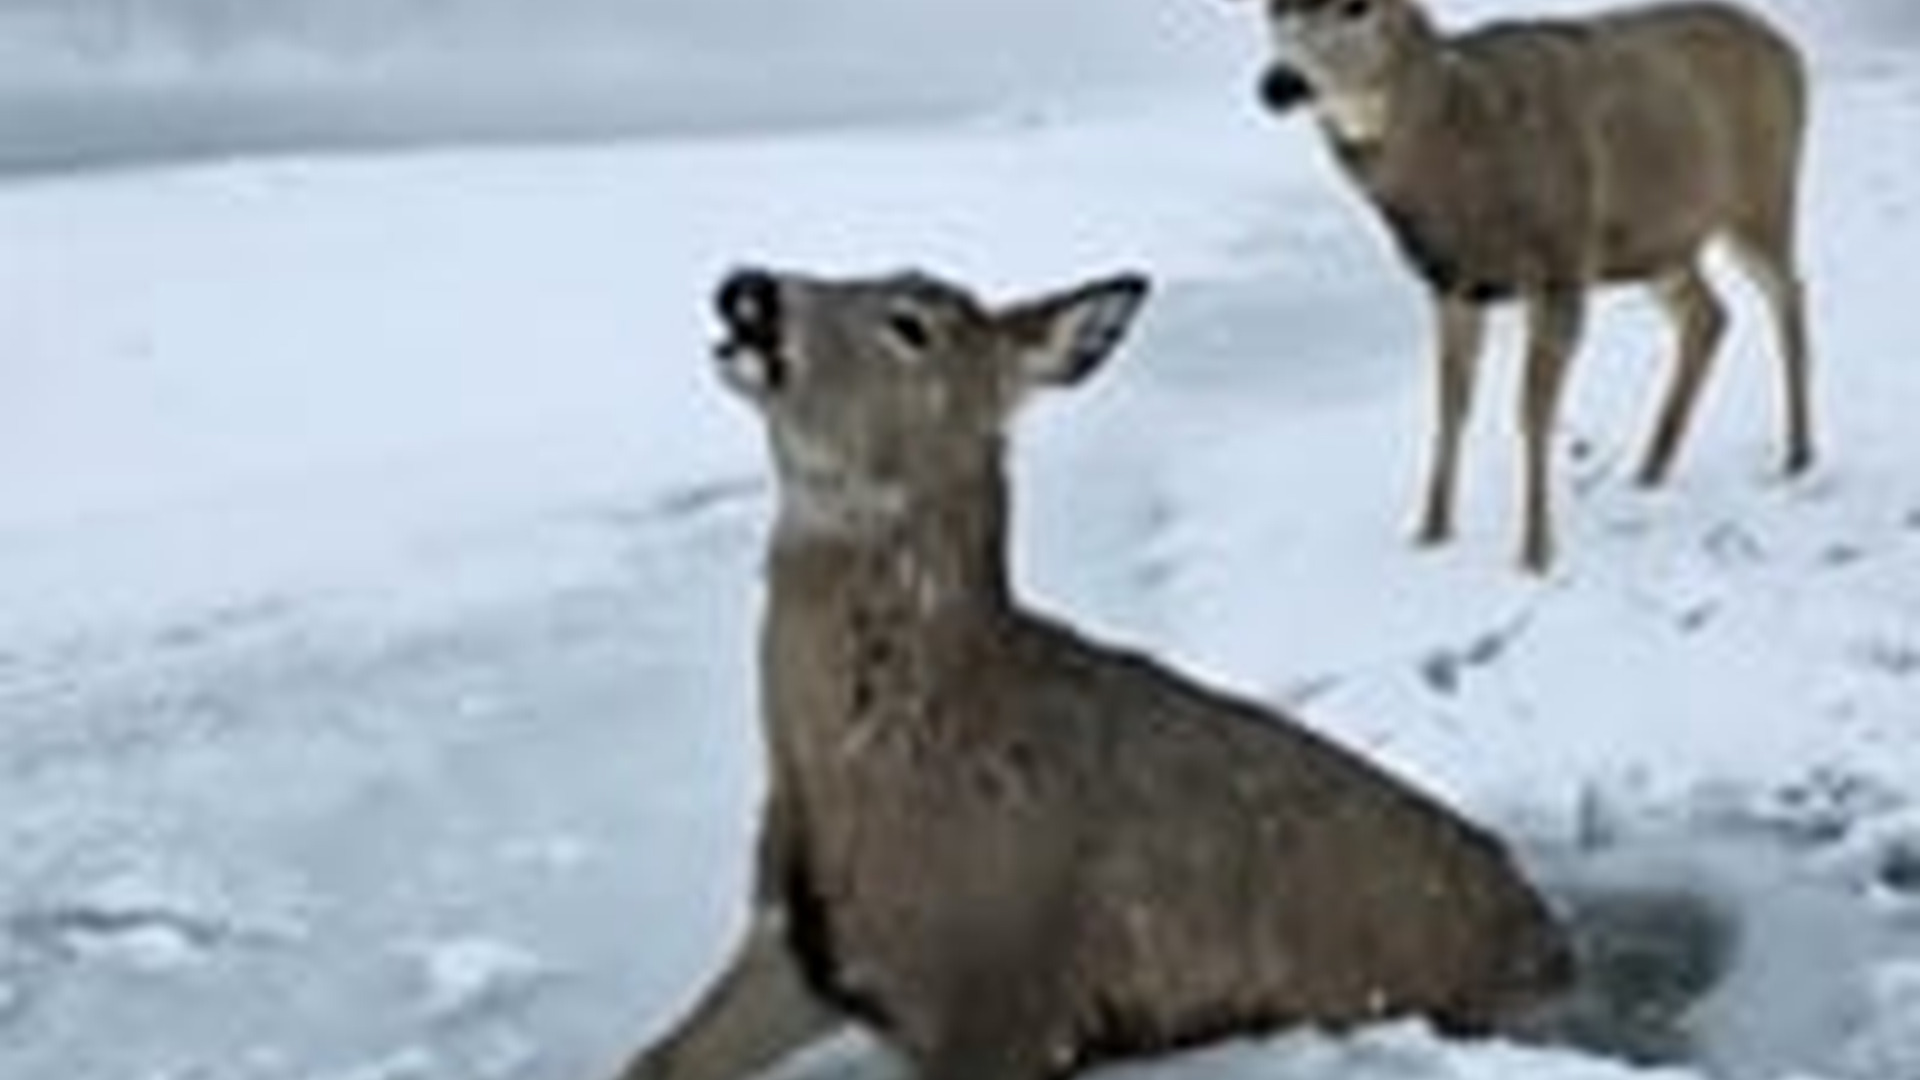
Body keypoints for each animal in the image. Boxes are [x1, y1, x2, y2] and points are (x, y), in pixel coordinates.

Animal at [604, 266, 1574, 1080]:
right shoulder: (796, 943)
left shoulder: (1005, 997)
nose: (749, 288)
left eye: (911, 324)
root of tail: (1557, 941)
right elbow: (654, 1061)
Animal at [1244, 0, 1814, 572]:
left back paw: (1799, 453)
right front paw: (1431, 531)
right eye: (1273, 10)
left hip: (1763, 191)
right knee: (1709, 315)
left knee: (1789, 294)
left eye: (1356, 9)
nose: (1278, 83)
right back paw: (1651, 469)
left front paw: (1535, 550)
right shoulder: (1453, 286)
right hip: (1657, 244)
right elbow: (1450, 407)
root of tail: (1788, 51)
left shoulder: (1562, 258)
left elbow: (1533, 411)